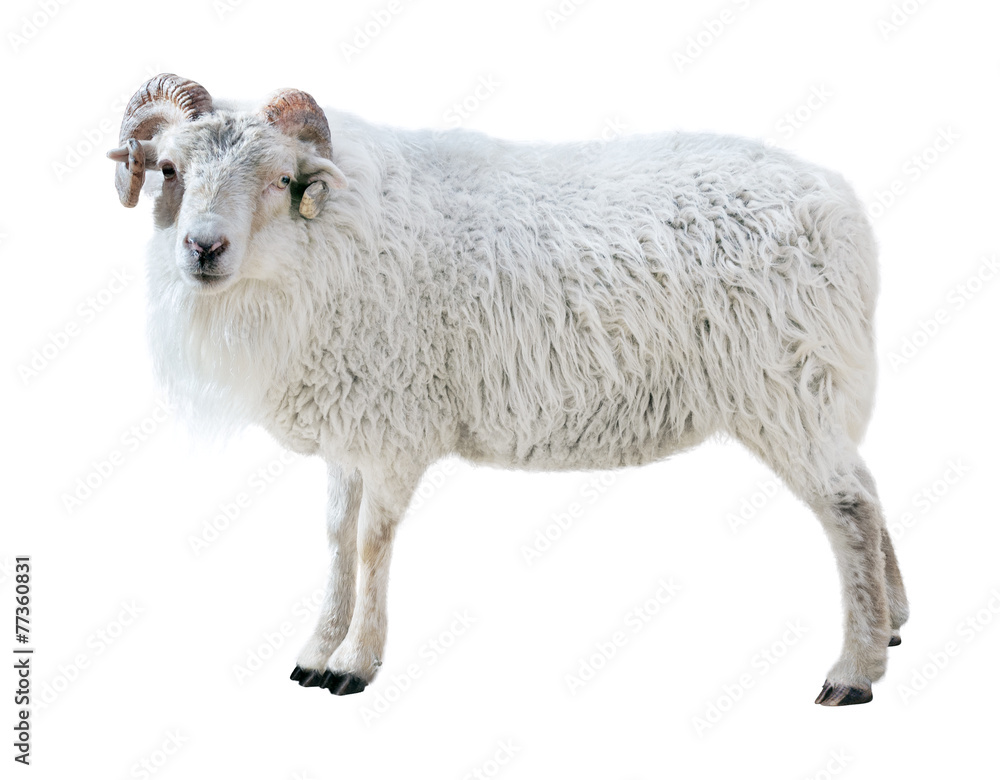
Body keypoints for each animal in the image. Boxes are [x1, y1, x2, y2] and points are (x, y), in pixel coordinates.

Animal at [107, 73, 908, 706]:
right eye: (170, 168)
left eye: (278, 178)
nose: (203, 249)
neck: (328, 238)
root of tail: (842, 209)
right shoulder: (350, 427)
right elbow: (336, 538)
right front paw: (314, 651)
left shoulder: (395, 428)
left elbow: (371, 542)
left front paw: (355, 664)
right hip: (817, 389)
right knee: (869, 488)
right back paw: (892, 623)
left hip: (788, 386)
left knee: (851, 507)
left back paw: (854, 671)